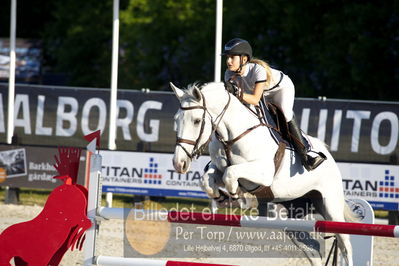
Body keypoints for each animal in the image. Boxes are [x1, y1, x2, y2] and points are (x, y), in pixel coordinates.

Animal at [170, 82, 358, 264]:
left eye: (196, 121)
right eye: (176, 120)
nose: (179, 163)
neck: (233, 136)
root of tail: (330, 158)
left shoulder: (262, 173)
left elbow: (230, 173)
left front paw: (237, 195)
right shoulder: (218, 168)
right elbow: (207, 180)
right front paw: (222, 197)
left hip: (330, 206)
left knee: (345, 245)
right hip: (288, 216)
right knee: (313, 249)